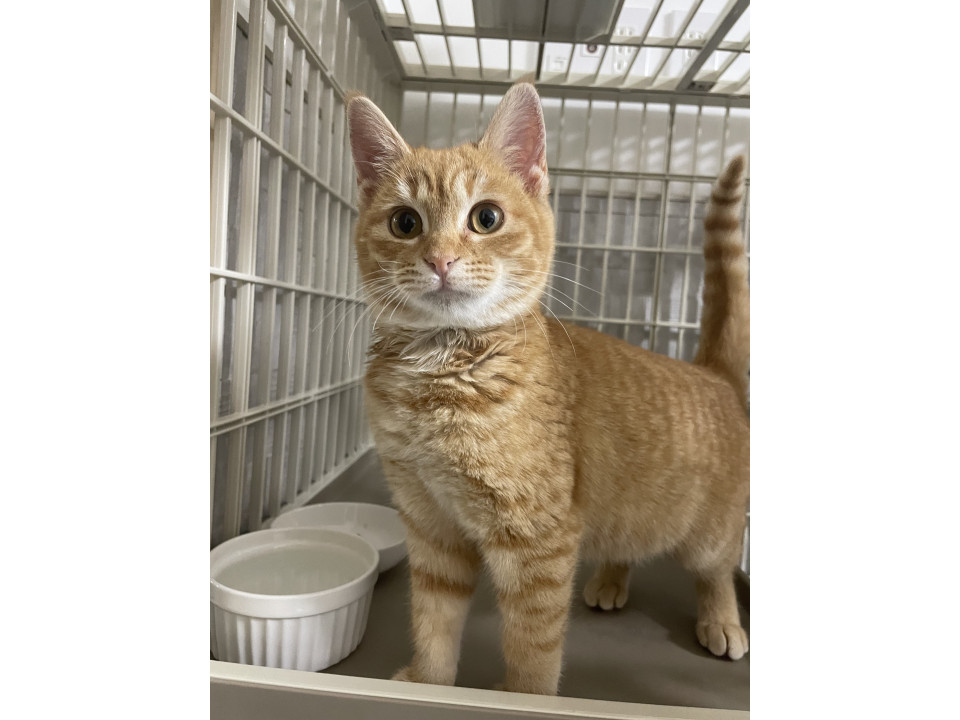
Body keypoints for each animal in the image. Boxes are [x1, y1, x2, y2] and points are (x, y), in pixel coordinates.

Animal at [345, 82, 749, 696]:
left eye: (486, 217)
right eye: (405, 223)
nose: (440, 259)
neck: (442, 377)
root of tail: (710, 372)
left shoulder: (538, 542)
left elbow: (532, 648)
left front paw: (522, 698)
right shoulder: (430, 525)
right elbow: (434, 619)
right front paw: (427, 683)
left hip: (708, 534)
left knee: (717, 571)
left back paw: (721, 618)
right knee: (628, 542)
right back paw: (611, 579)